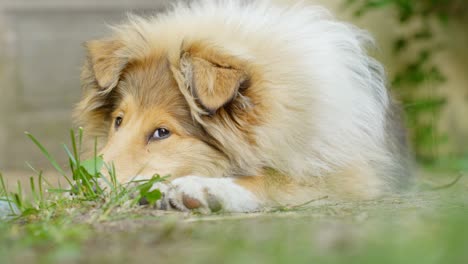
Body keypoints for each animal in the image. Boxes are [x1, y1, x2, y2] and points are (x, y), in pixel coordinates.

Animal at [72, 0, 410, 212]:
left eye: (162, 132)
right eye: (118, 120)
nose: (83, 186)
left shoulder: (350, 175)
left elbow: (274, 178)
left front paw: (202, 190)